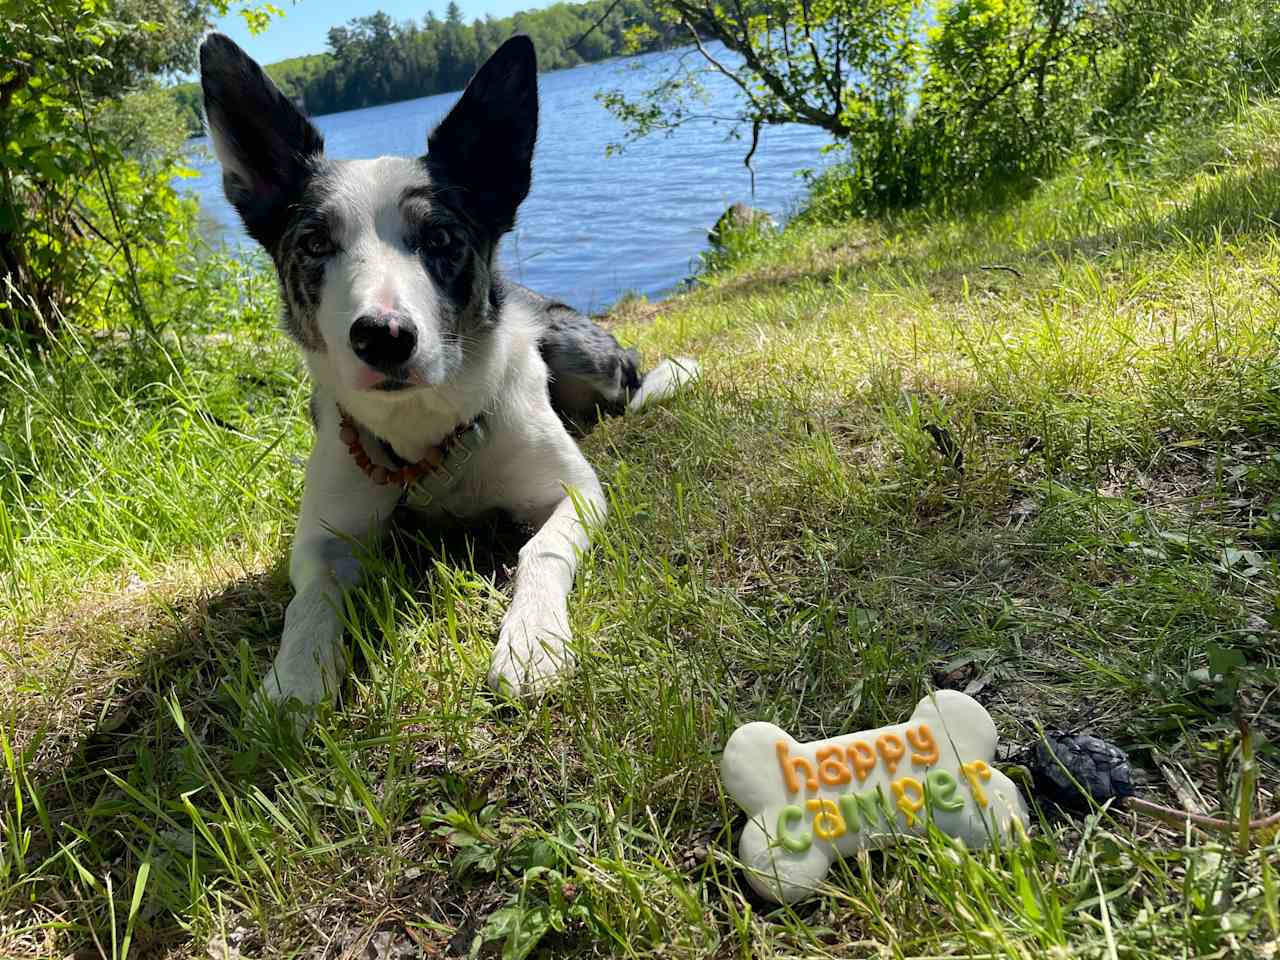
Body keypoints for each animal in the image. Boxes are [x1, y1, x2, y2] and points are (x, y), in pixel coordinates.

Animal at [199, 33, 701, 711]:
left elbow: (542, 547)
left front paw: (532, 641)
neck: (425, 425)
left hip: (573, 345)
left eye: (438, 238)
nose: (383, 336)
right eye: (314, 244)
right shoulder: (324, 534)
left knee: (626, 389)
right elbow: (310, 599)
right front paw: (295, 678)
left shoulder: (576, 494)